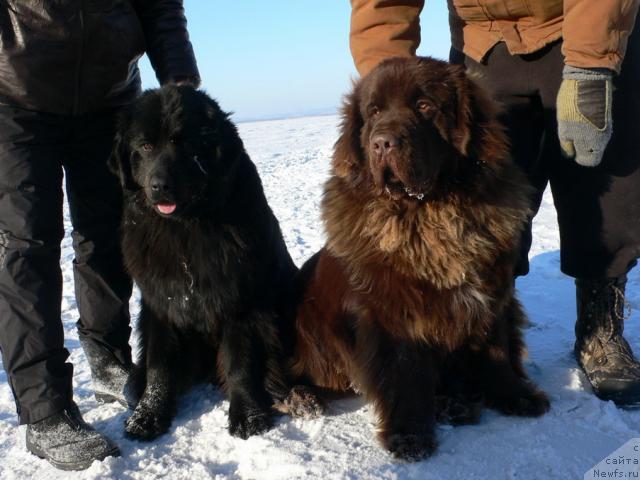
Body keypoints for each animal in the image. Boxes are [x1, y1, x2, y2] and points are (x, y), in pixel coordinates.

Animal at [111, 85, 318, 438]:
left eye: (186, 145)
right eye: (145, 146)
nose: (159, 186)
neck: (185, 228)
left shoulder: (241, 303)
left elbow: (240, 362)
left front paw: (248, 416)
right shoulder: (161, 304)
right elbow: (159, 367)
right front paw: (147, 415)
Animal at [292, 57, 548, 462]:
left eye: (425, 106)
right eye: (373, 112)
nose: (382, 142)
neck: (430, 213)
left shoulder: (492, 297)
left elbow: (496, 350)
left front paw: (516, 395)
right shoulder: (393, 316)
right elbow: (406, 374)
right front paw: (410, 436)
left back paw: (455, 403)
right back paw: (302, 398)